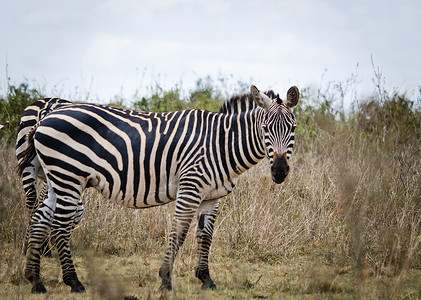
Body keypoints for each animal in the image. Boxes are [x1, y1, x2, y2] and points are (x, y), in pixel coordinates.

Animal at [18, 84, 298, 292]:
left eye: (293, 128)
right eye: (265, 128)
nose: (280, 171)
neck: (220, 144)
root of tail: (46, 116)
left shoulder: (212, 196)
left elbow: (205, 236)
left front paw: (206, 278)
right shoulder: (190, 187)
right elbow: (178, 233)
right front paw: (165, 280)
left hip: (57, 179)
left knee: (40, 221)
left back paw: (35, 280)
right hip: (69, 177)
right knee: (60, 227)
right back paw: (74, 282)